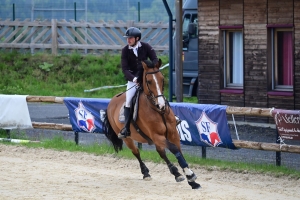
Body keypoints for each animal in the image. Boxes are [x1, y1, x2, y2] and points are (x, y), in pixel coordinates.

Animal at [101, 58, 202, 189]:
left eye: (162, 79)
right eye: (149, 81)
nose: (162, 104)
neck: (158, 111)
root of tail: (111, 101)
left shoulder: (173, 134)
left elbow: (178, 151)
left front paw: (191, 180)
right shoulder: (157, 136)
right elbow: (174, 149)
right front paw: (190, 175)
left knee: (161, 152)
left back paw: (176, 173)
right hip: (128, 138)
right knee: (136, 152)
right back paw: (146, 173)